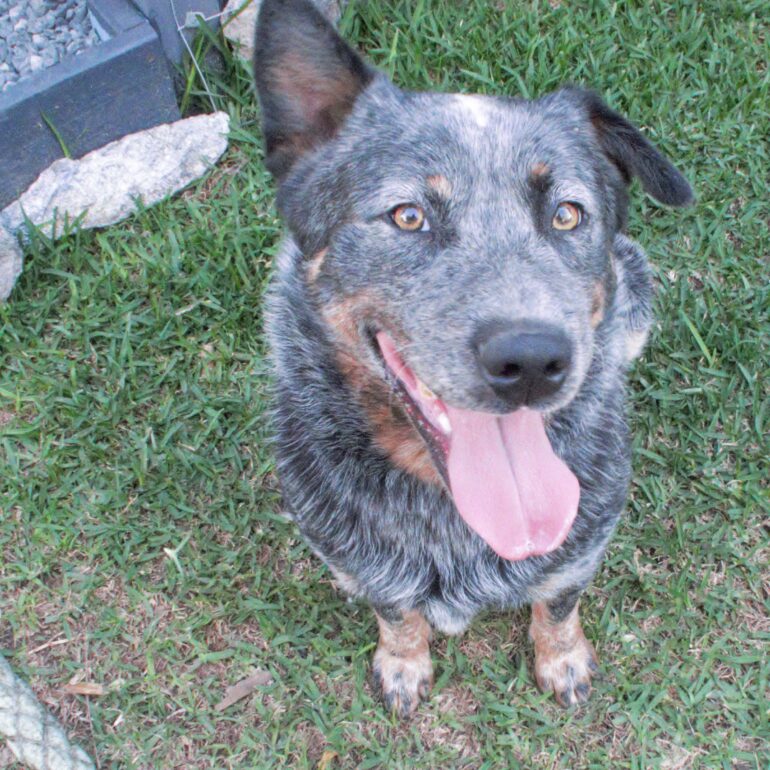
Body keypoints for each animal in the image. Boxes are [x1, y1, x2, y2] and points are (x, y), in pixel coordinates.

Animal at [252, 0, 688, 712]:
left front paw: (562, 659)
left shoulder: (580, 546)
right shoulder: (359, 560)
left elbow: (557, 604)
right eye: (408, 216)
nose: (533, 360)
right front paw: (403, 663)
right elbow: (396, 611)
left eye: (567, 214)